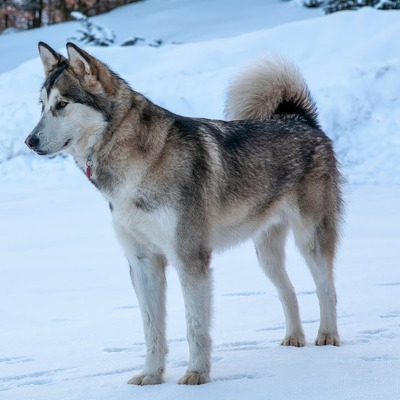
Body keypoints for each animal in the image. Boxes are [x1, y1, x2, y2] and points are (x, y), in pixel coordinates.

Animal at [25, 42, 344, 386]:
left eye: (61, 104)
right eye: (41, 106)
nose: (29, 141)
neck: (136, 167)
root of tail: (300, 120)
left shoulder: (189, 259)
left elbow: (195, 327)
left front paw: (196, 374)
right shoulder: (143, 262)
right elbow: (152, 330)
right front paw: (151, 376)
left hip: (310, 240)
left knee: (327, 289)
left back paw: (327, 337)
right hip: (265, 253)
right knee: (289, 292)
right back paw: (294, 339)